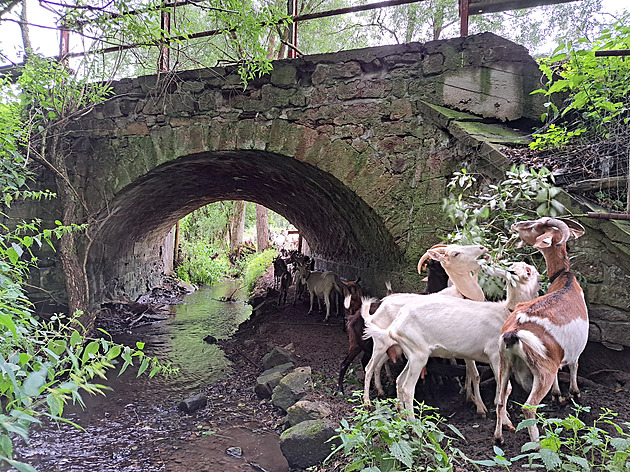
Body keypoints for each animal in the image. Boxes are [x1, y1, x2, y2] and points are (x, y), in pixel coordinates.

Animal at [360, 243, 488, 406]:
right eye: (456, 253)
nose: (482, 248)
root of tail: (376, 312)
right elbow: (475, 374)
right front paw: (480, 406)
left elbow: (469, 372)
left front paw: (469, 396)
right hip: (380, 345)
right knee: (370, 367)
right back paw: (367, 401)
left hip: (393, 347)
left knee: (379, 367)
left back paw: (383, 392)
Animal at [366, 262, 544, 420]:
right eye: (529, 272)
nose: (541, 278)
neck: (504, 313)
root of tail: (394, 327)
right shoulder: (494, 353)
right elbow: (503, 387)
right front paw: (503, 421)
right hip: (411, 353)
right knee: (403, 385)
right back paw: (412, 424)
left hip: (412, 353)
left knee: (399, 381)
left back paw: (401, 416)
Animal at [496, 216, 592, 444]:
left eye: (535, 226)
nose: (516, 224)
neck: (565, 279)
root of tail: (513, 333)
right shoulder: (573, 351)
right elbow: (574, 366)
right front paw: (574, 393)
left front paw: (558, 395)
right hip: (542, 371)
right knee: (528, 408)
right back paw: (538, 445)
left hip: (504, 362)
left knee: (500, 400)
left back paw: (498, 439)